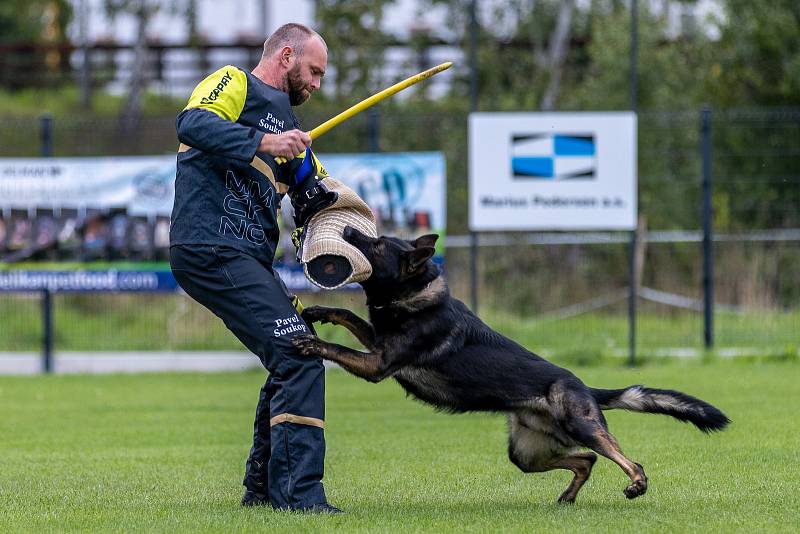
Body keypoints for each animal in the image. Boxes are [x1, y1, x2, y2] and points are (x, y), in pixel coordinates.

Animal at [294, 228, 732, 504]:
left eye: (377, 244)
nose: (347, 229)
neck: (414, 295)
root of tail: (585, 386)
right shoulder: (377, 346)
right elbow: (348, 316)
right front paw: (316, 311)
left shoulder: (377, 364)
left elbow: (338, 347)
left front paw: (314, 342)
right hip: (525, 454)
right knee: (586, 460)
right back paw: (567, 497)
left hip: (582, 425)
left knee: (624, 458)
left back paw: (636, 485)